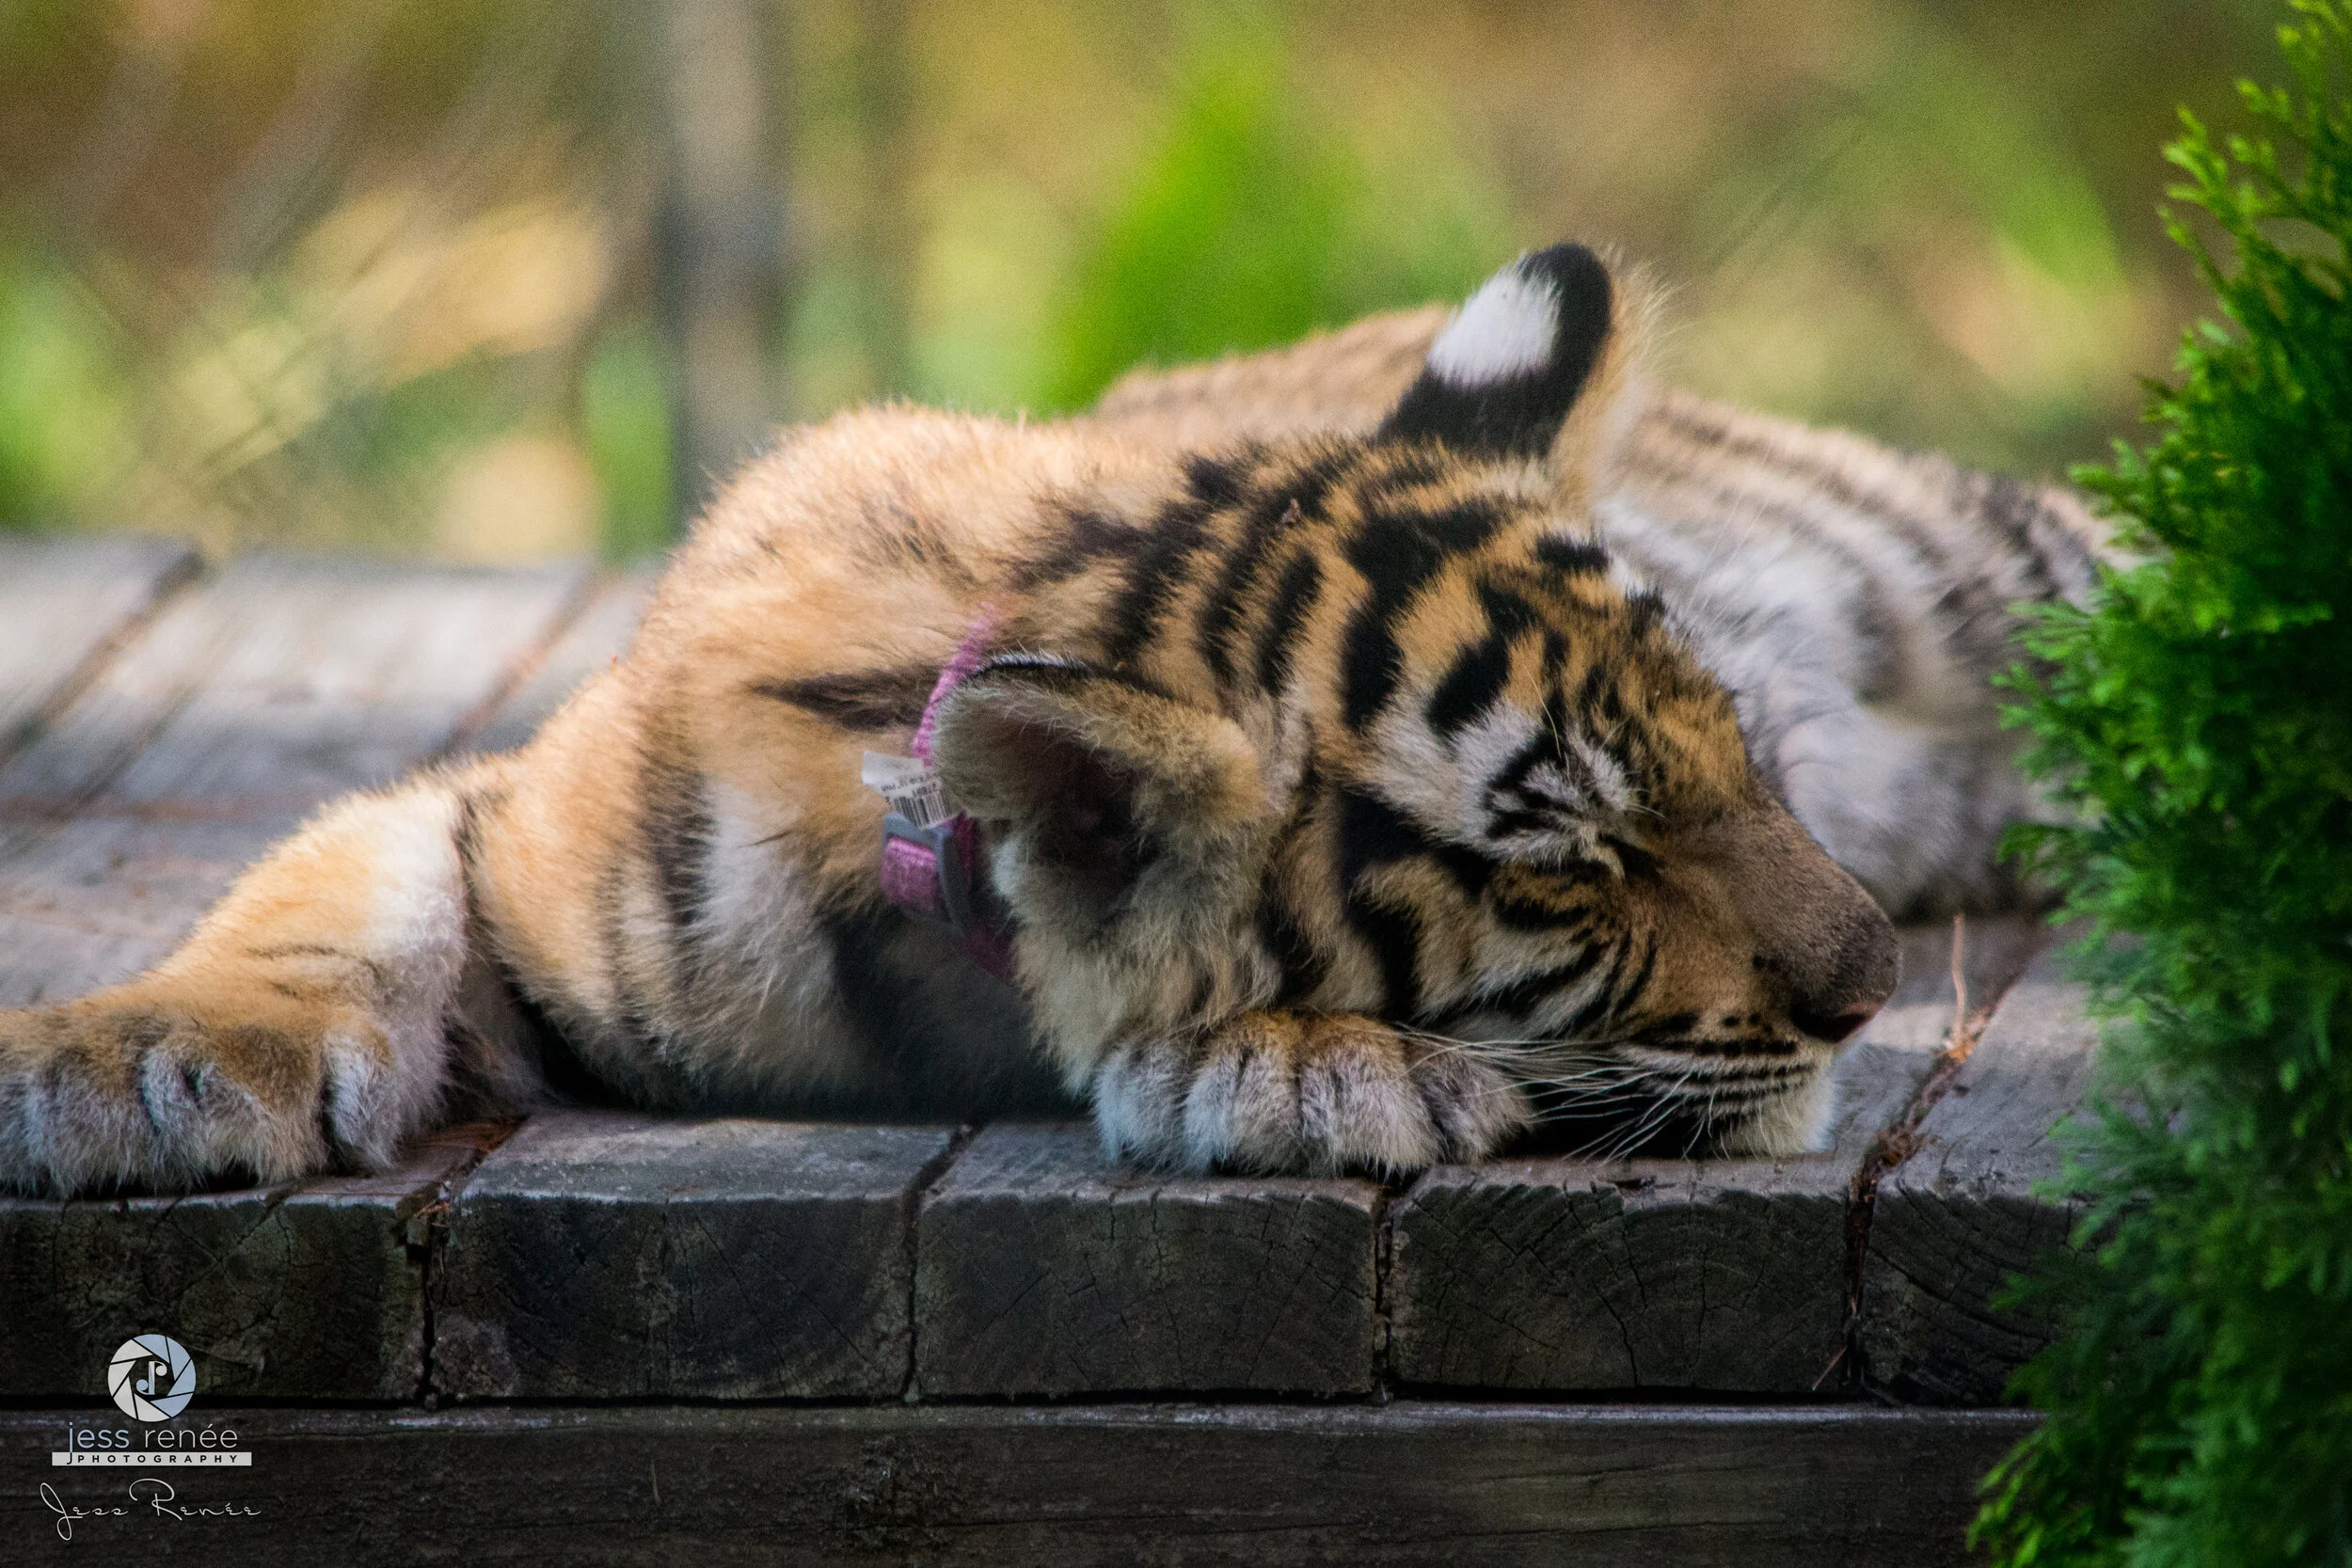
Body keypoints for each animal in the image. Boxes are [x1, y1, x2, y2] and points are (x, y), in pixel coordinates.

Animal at [0, 243, 2107, 1198]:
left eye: (1745, 751)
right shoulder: (517, 828)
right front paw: (128, 1064)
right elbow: (321, 890)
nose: (1871, 987)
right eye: (1569, 858)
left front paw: (1292, 1061)